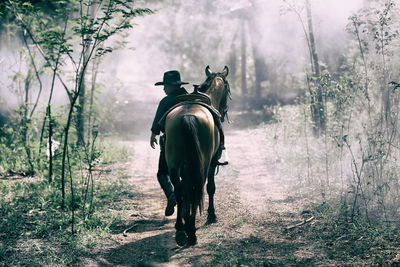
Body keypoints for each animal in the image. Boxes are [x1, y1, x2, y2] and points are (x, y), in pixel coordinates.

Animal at [164, 66, 230, 246]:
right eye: (228, 88)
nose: (224, 112)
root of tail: (187, 117)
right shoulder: (213, 162)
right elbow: (211, 188)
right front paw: (211, 215)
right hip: (202, 165)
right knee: (198, 187)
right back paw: (191, 232)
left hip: (174, 166)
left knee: (180, 190)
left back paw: (181, 229)